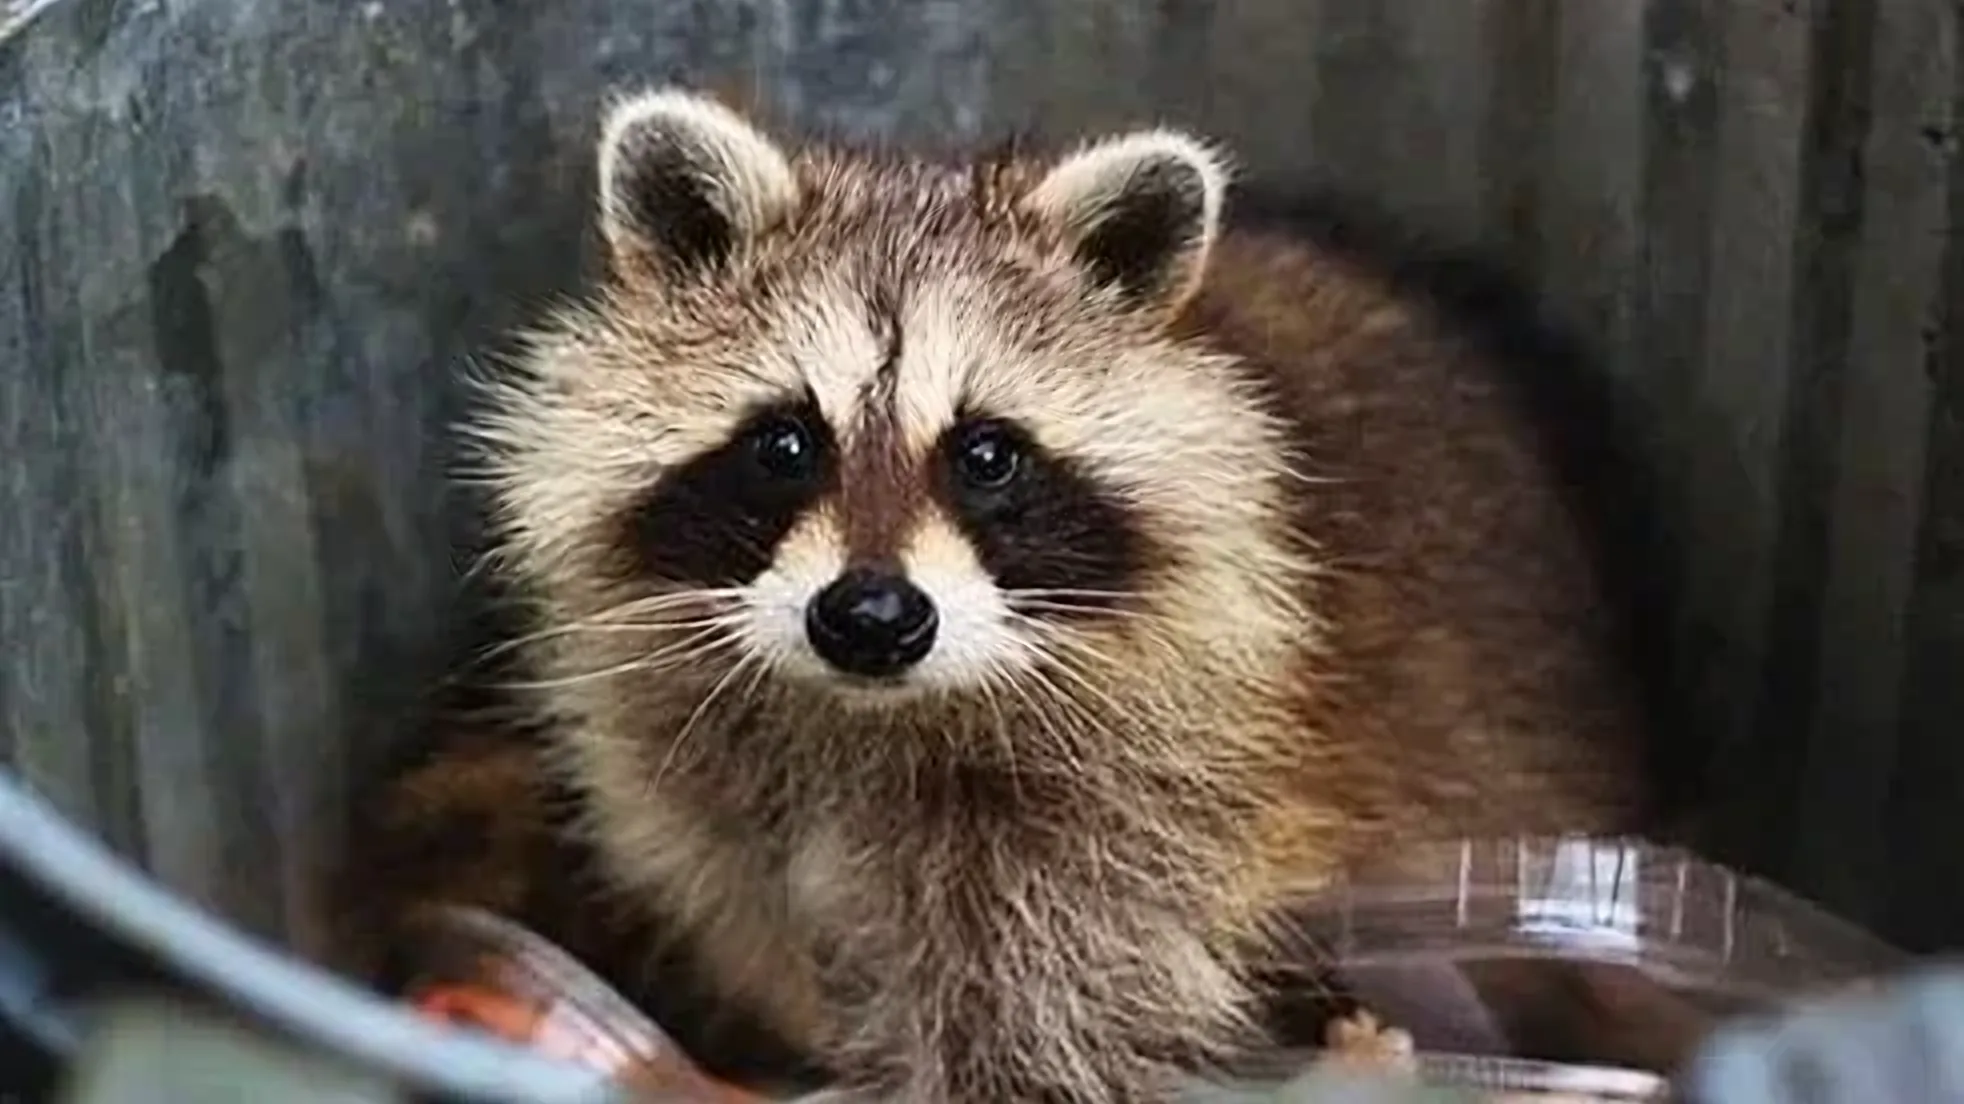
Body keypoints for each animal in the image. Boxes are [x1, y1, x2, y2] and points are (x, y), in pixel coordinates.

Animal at [350, 88, 1666, 1103]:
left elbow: (1038, 1028)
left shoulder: (1139, 828)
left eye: (986, 455)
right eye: (783, 445)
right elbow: (763, 919)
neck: (867, 720)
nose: (870, 619)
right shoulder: (695, 790)